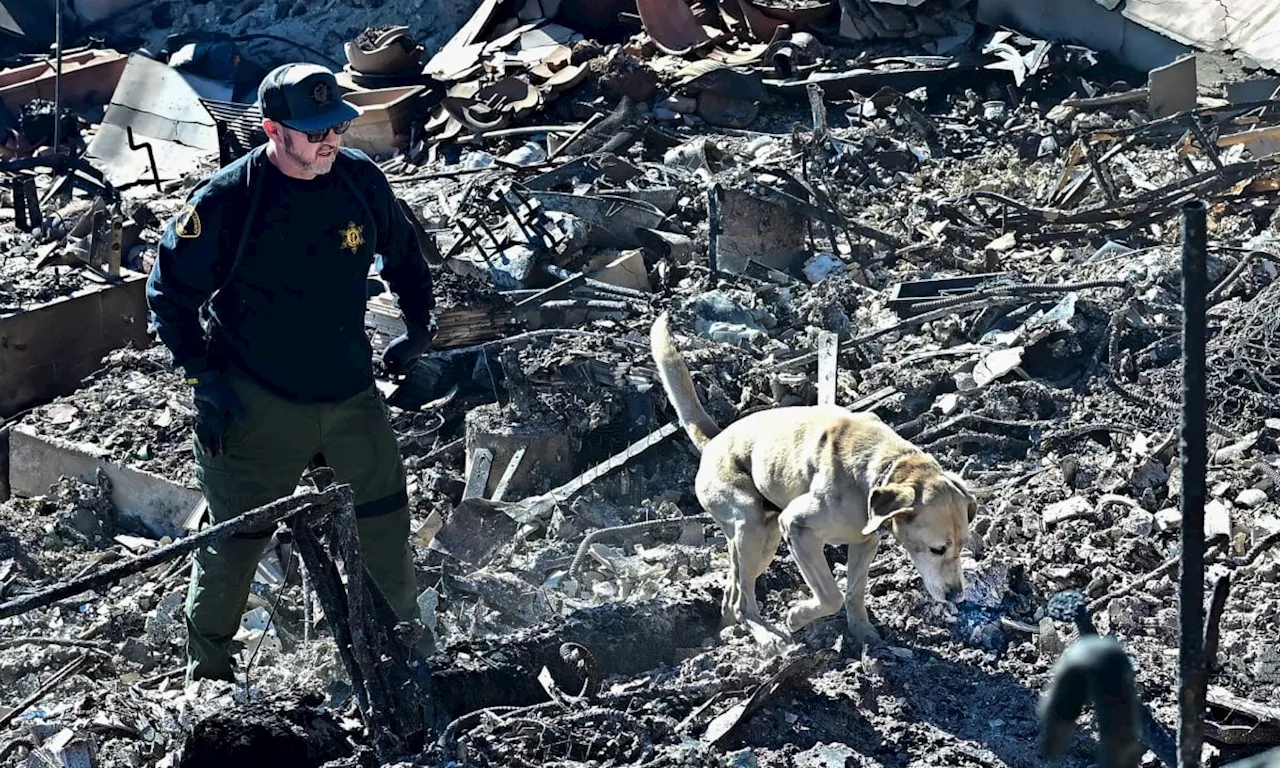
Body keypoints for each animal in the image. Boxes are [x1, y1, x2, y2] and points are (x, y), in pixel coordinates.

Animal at [655, 312, 972, 647]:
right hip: (753, 528)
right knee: (743, 601)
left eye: (963, 545)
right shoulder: (797, 528)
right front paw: (797, 616)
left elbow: (854, 593)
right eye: (937, 549)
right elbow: (831, 595)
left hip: (759, 538)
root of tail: (713, 441)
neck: (880, 469)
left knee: (733, 593)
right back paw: (767, 636)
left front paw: (863, 632)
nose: (957, 595)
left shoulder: (866, 542)